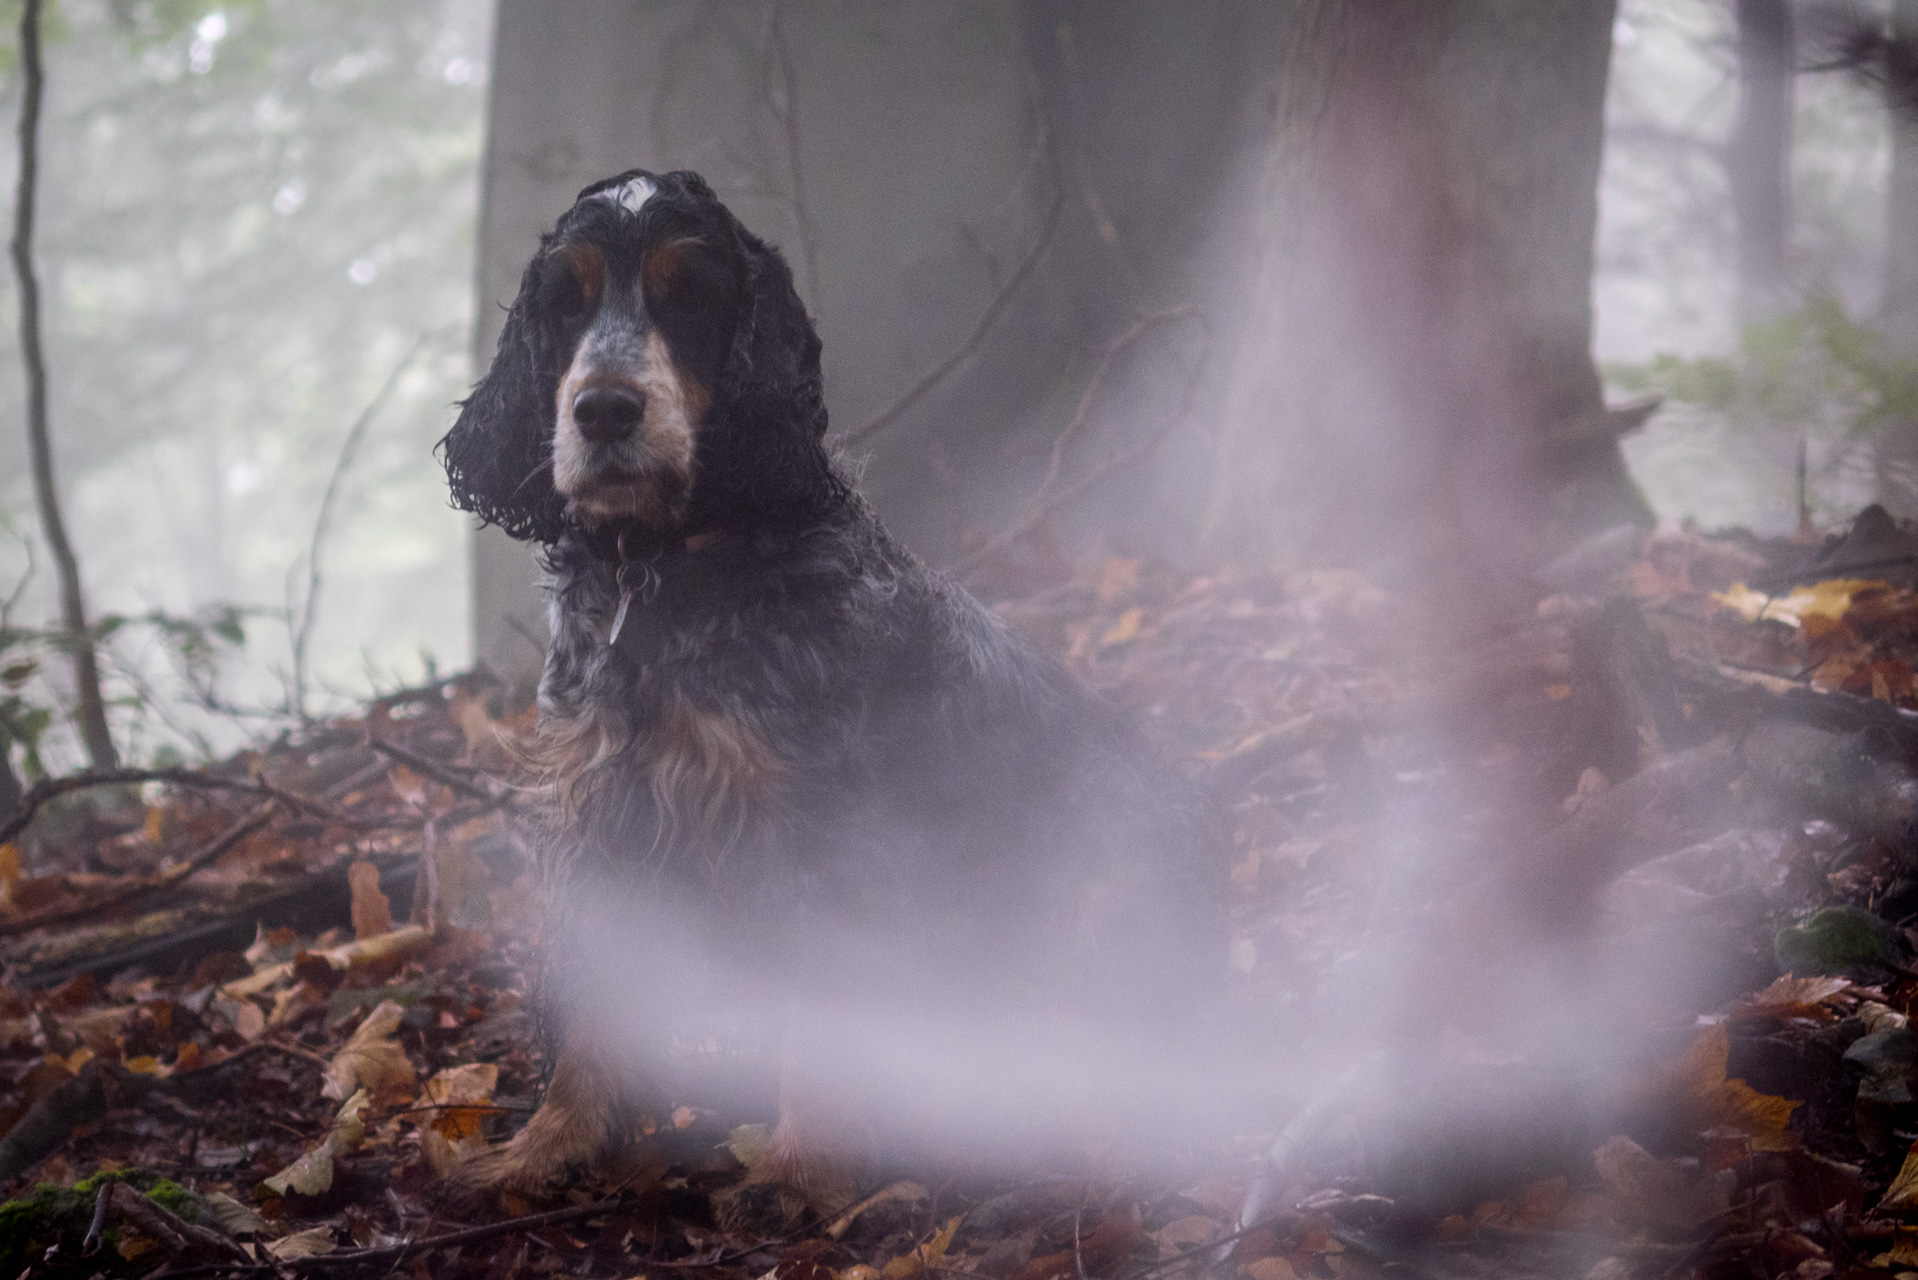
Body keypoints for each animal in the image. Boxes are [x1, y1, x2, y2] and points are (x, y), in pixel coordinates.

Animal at [439, 172, 1212, 1212]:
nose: (603, 410)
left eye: (691, 298)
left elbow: (821, 1000)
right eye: (566, 302)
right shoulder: (603, 814)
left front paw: (806, 1163)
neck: (665, 569)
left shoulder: (819, 823)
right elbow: (598, 1010)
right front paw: (546, 1146)